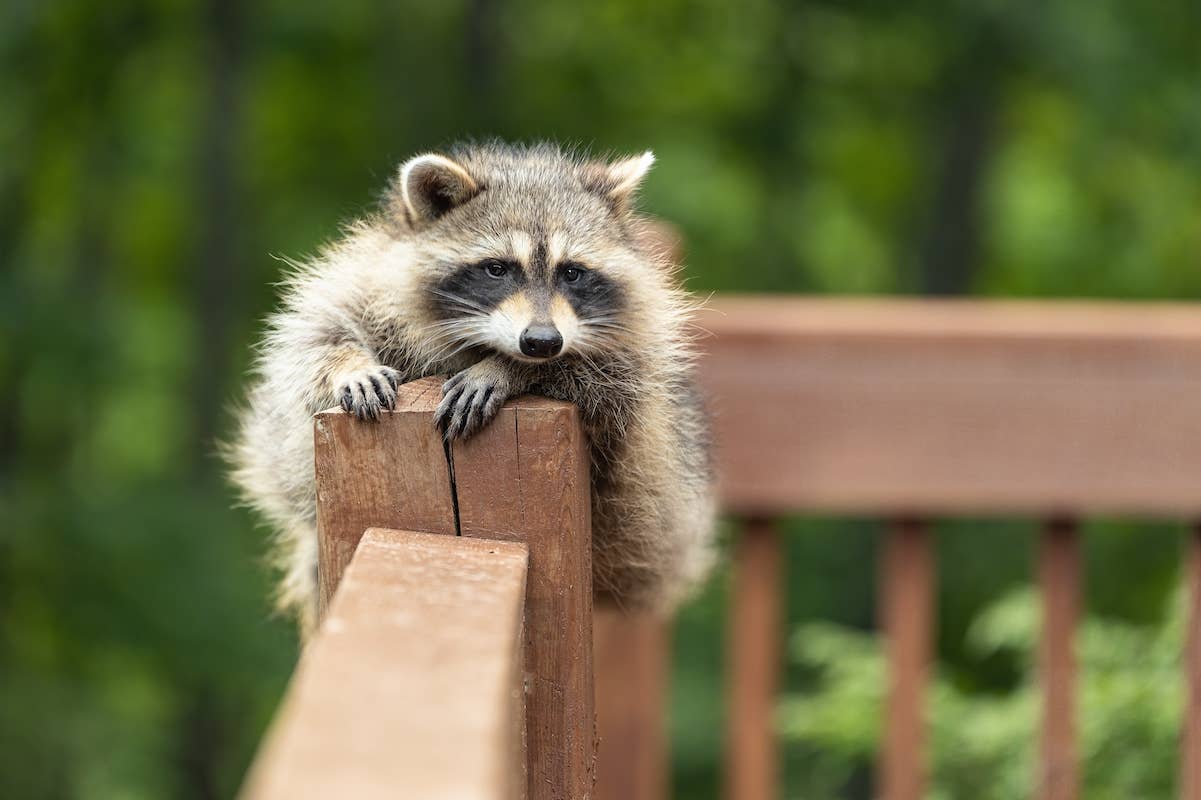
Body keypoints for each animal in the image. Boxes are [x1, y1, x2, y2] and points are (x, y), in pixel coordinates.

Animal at [229, 142, 716, 632]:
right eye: (497, 268)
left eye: (572, 272)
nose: (542, 342)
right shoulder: (366, 277)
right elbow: (314, 333)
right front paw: (349, 364)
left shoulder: (637, 360)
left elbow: (608, 377)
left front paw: (507, 369)